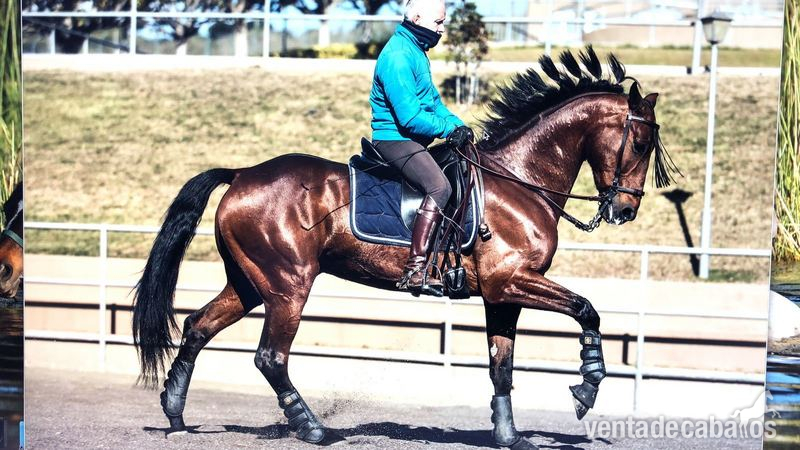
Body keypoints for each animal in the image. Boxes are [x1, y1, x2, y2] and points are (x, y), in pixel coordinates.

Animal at [132, 48, 676, 448]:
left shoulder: (502, 294)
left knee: (197, 326)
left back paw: (175, 414)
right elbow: (586, 309)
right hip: (288, 287)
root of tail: (242, 174)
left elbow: (502, 365)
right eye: (641, 143)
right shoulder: (513, 281)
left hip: (249, 283)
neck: (520, 180)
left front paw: (508, 436)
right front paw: (587, 387)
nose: (625, 210)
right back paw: (313, 429)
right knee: (270, 357)